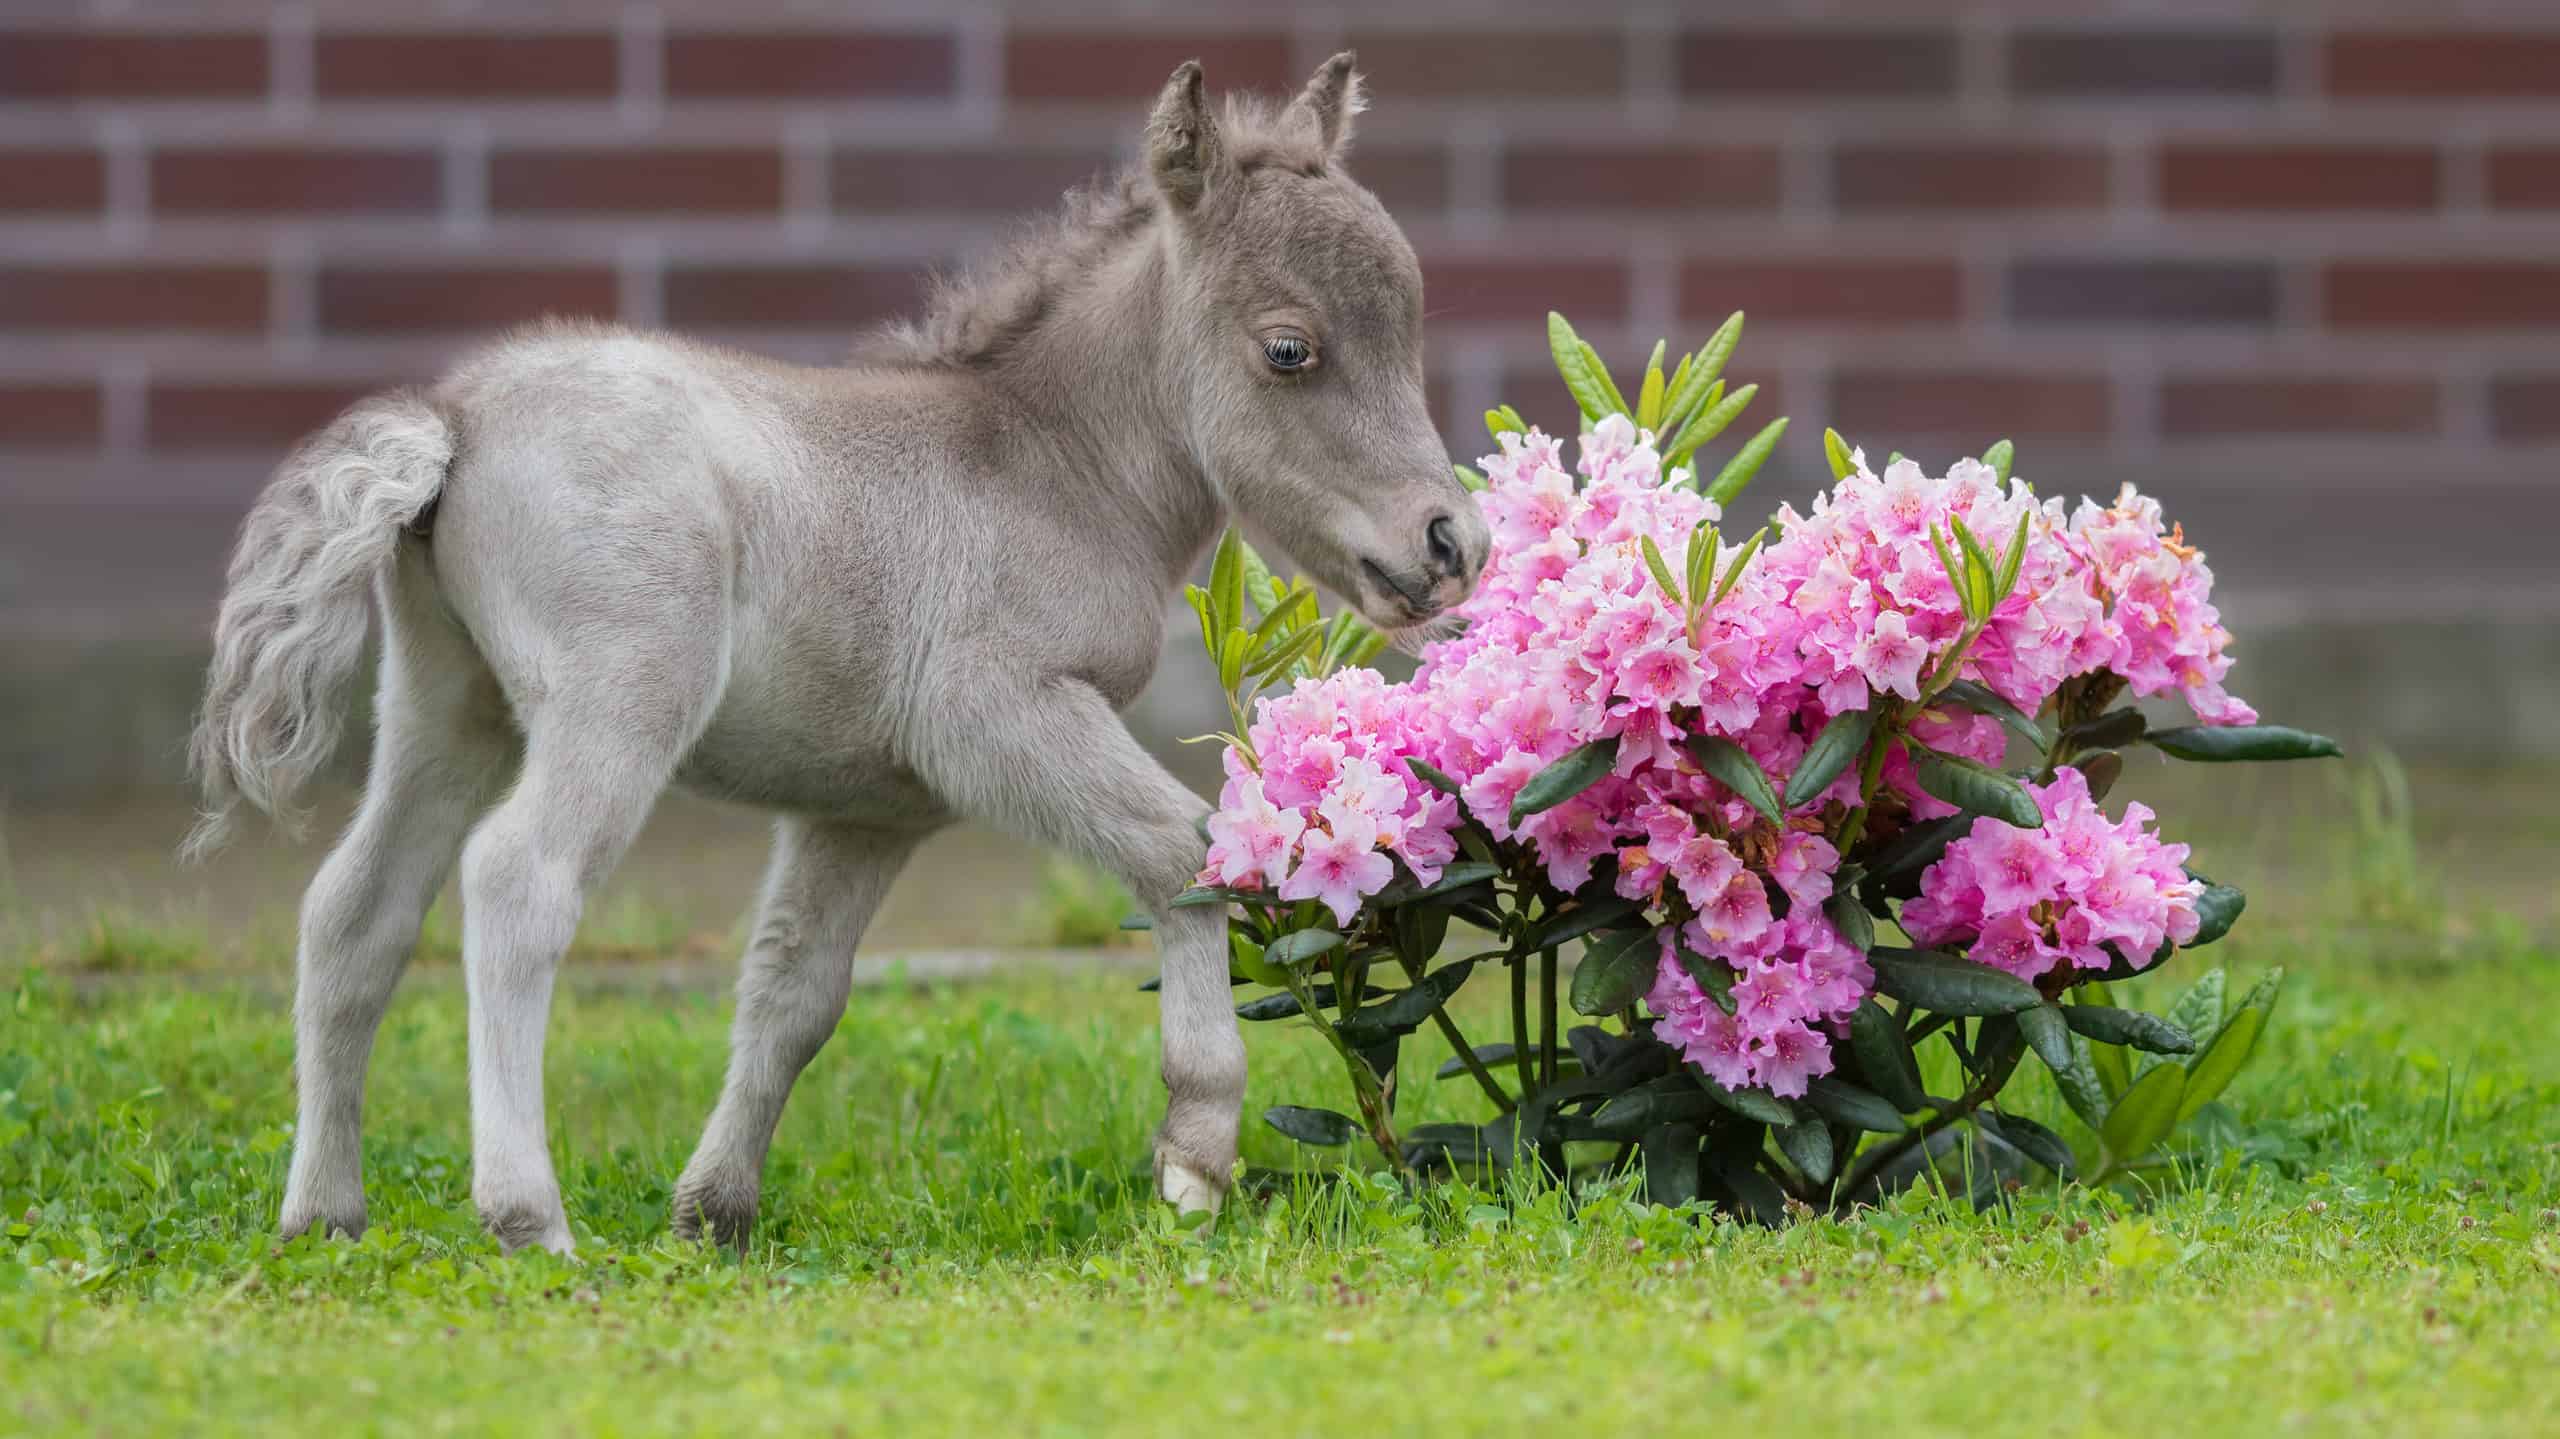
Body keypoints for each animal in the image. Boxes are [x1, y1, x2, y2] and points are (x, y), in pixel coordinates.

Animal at [184, 54, 1488, 1255]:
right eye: (1289, 350)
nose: (1450, 542)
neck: (1044, 461)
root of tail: (454, 418)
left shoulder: (868, 805)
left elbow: (793, 991)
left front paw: (712, 1210)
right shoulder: (988, 713)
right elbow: (1182, 852)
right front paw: (1196, 1153)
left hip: (447, 703)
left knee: (356, 909)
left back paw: (321, 1214)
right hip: (620, 695)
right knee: (516, 883)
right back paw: (527, 1218)